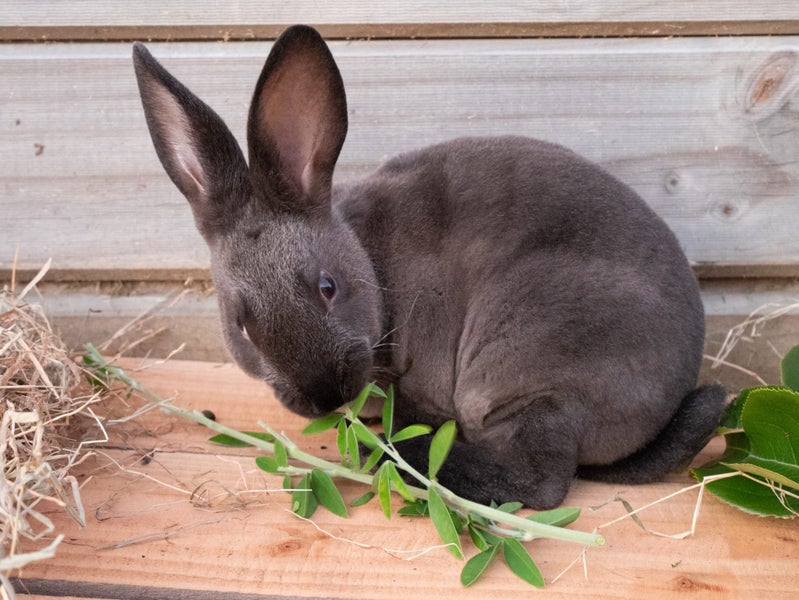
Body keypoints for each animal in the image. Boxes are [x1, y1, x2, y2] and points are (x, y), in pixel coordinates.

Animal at [132, 25, 726, 510]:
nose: (325, 395)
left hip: (524, 369)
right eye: (241, 326)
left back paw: (394, 459)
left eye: (327, 287)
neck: (371, 261)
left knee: (538, 478)